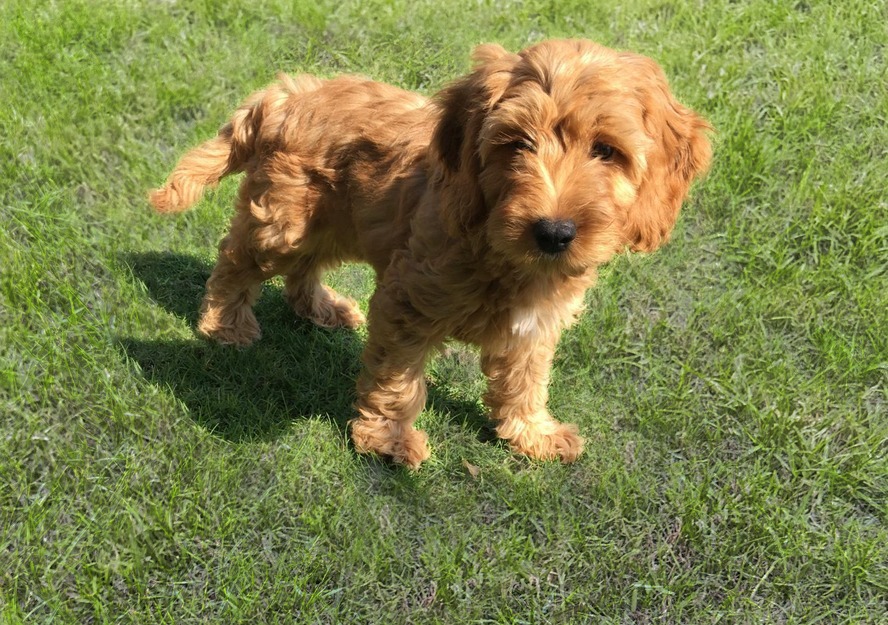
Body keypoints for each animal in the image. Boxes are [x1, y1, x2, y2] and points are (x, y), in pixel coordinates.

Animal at [149, 39, 712, 468]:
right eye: (517, 143)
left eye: (606, 150)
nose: (553, 232)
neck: (500, 251)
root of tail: (289, 93)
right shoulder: (408, 298)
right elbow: (398, 378)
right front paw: (388, 440)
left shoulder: (535, 323)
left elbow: (526, 379)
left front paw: (532, 433)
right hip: (283, 222)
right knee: (235, 259)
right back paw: (225, 324)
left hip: (335, 223)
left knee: (302, 268)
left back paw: (322, 308)